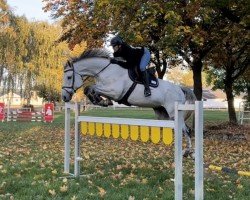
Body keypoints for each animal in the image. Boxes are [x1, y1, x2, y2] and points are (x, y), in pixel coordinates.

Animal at [61, 48, 196, 156]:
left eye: (68, 77)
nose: (64, 97)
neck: (105, 71)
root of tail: (180, 88)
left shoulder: (115, 92)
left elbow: (91, 88)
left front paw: (99, 100)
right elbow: (90, 89)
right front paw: (101, 101)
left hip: (174, 113)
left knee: (186, 130)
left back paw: (188, 152)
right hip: (162, 114)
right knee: (182, 129)